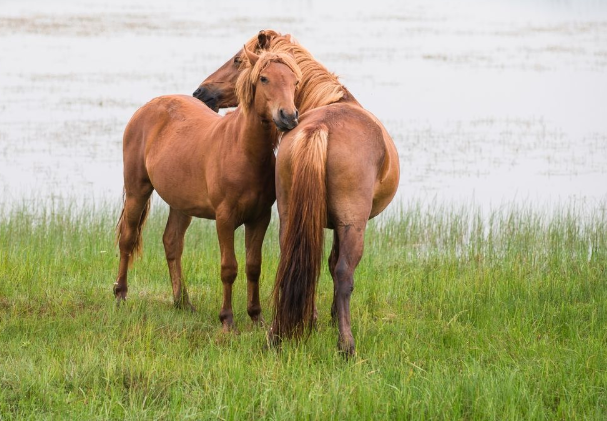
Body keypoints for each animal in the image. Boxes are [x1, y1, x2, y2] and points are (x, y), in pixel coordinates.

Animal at [112, 48, 302, 332]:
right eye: (264, 78)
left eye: (295, 82)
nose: (288, 117)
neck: (242, 150)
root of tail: (148, 107)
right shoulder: (225, 219)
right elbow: (229, 268)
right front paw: (227, 320)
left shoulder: (260, 218)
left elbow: (253, 267)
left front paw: (256, 317)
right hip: (138, 190)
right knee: (128, 238)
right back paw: (121, 294)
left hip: (181, 204)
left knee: (172, 242)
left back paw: (182, 302)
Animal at [195, 31, 402, 352]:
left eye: (237, 60)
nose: (202, 92)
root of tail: (321, 129)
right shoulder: (342, 224)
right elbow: (334, 265)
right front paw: (332, 319)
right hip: (353, 224)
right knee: (344, 273)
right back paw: (346, 344)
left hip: (291, 215)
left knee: (295, 261)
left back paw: (280, 332)